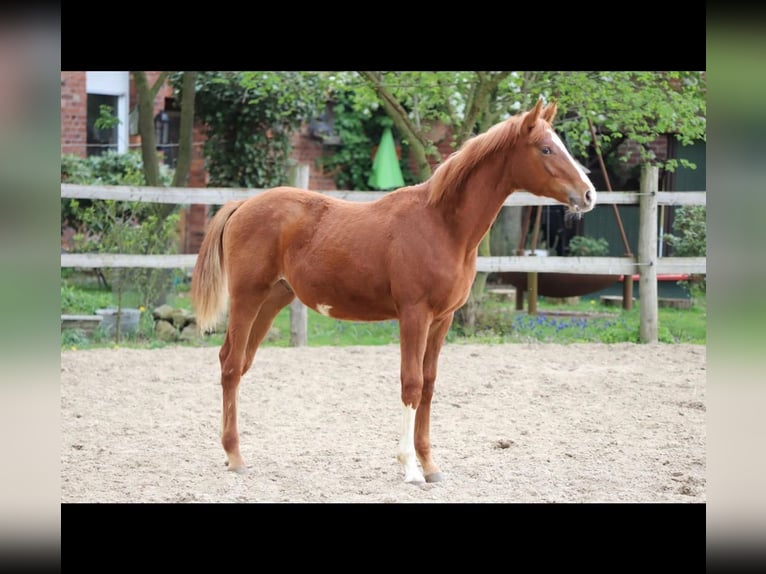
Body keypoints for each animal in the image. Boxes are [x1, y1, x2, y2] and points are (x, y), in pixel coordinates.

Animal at [190, 98, 596, 483]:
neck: (442, 225)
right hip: (248, 298)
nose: (589, 194)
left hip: (273, 299)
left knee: (237, 361)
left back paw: (230, 453)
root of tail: (242, 204)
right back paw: (235, 457)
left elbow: (429, 385)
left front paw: (431, 465)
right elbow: (411, 384)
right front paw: (411, 468)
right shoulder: (414, 315)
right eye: (546, 148)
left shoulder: (442, 320)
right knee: (231, 365)